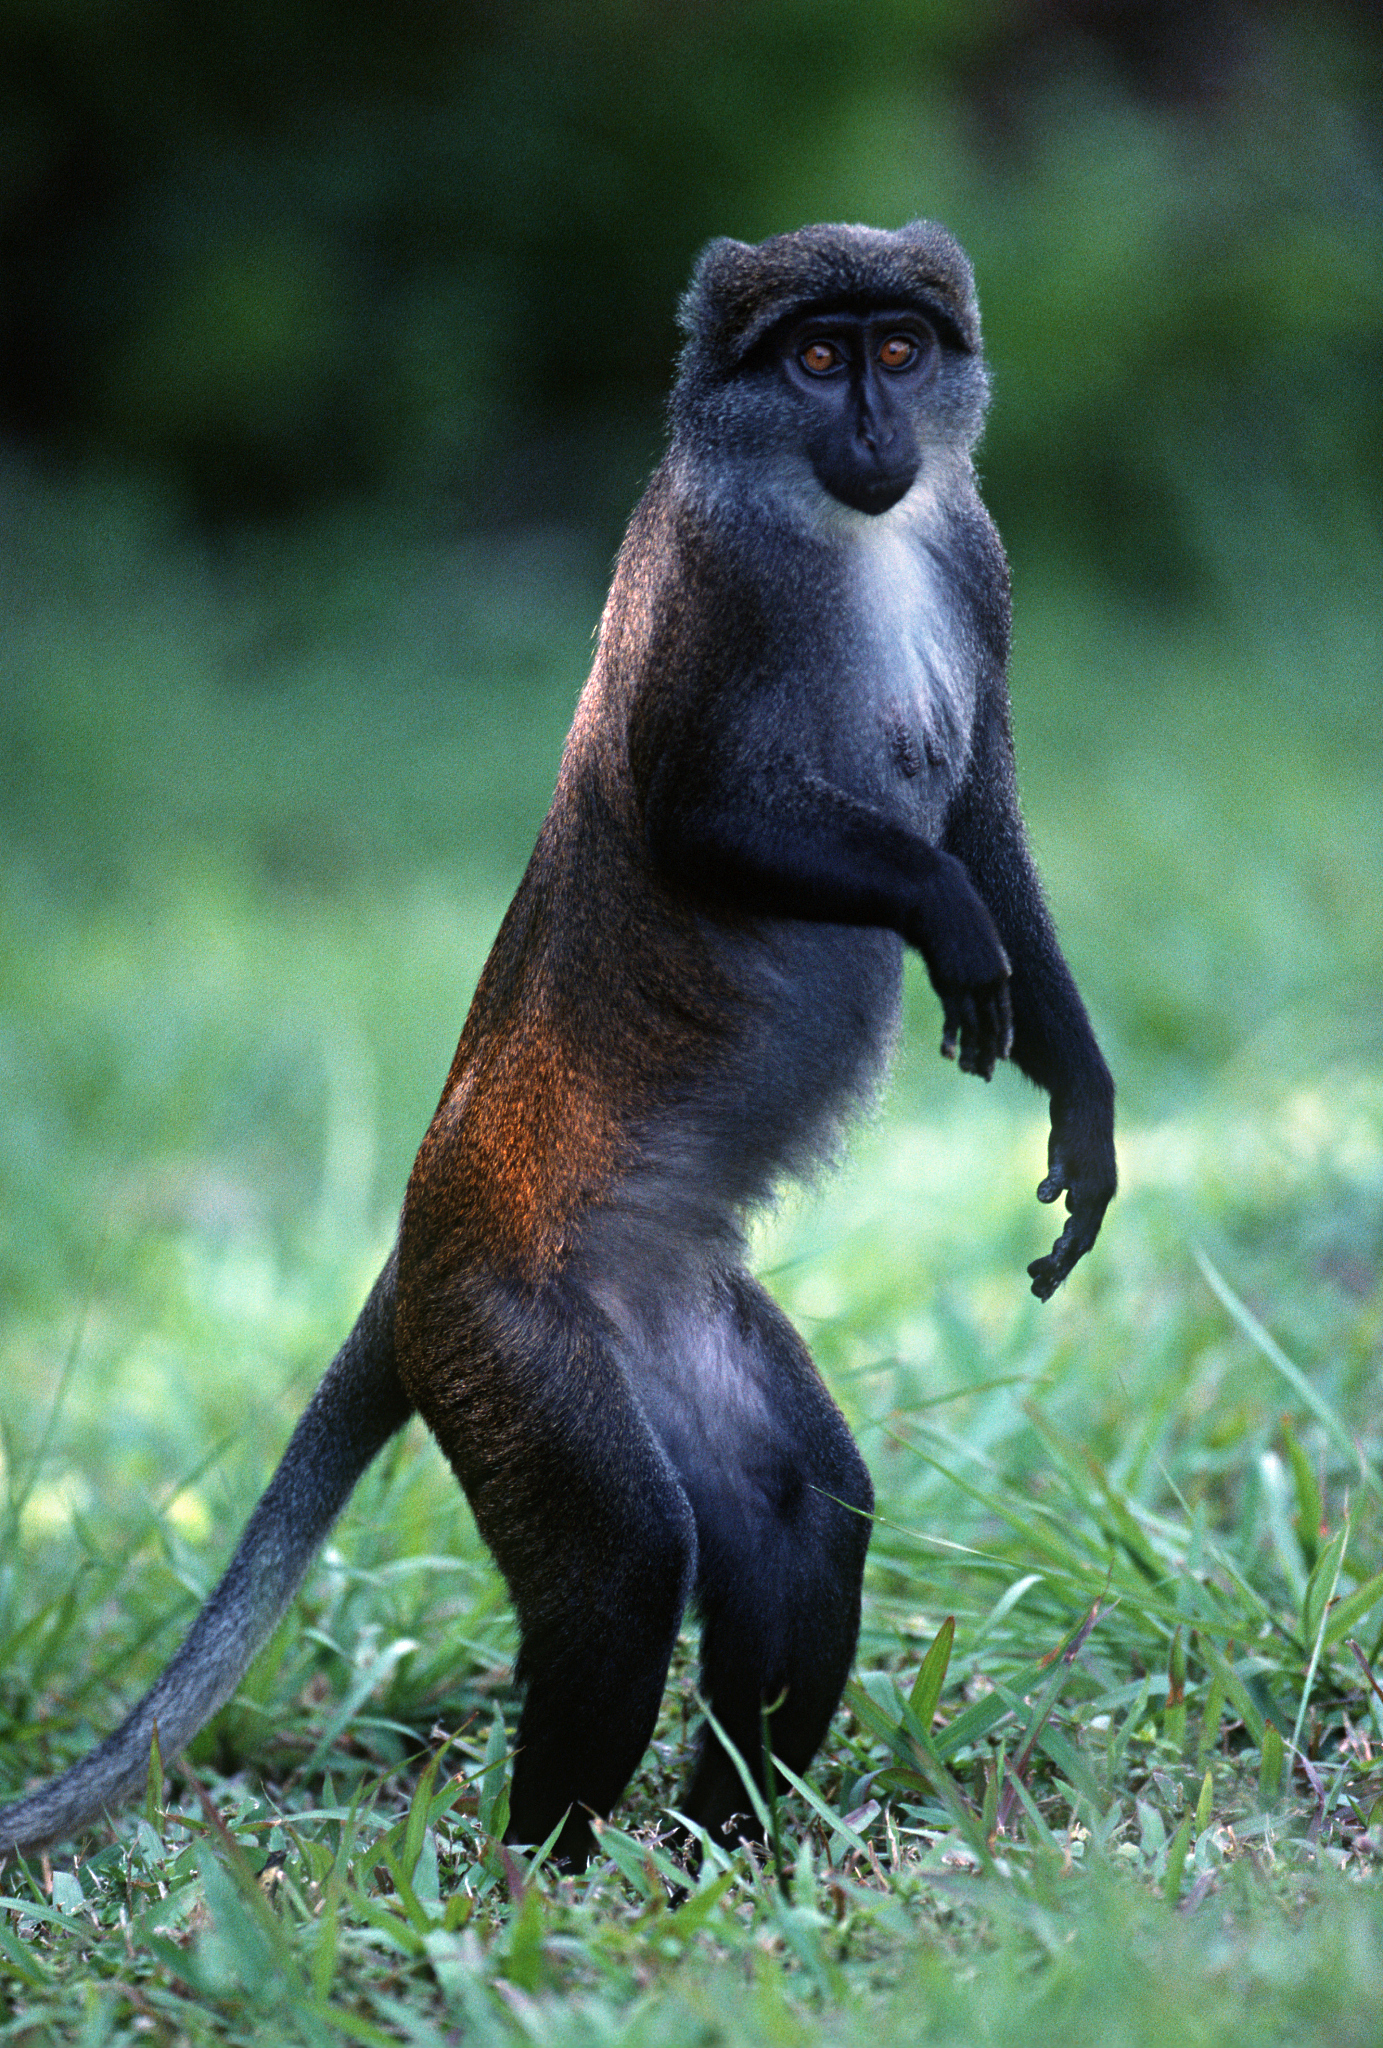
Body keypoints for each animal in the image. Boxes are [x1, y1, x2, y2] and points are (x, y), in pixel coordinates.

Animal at [0, 220, 1115, 1871]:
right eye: (816, 356)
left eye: (898, 350)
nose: (872, 435)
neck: (845, 533)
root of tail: (419, 1236)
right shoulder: (708, 588)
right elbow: (702, 819)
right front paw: (937, 916)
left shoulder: (971, 562)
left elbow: (983, 823)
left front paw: (1081, 1112)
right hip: (511, 1350)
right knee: (620, 1568)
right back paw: (545, 1877)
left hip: (667, 1324)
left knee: (798, 1515)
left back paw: (724, 1846)